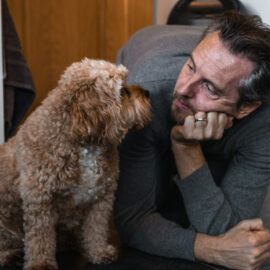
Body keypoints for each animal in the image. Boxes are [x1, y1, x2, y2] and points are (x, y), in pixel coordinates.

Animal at [0, 58, 151, 270]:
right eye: (122, 91)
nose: (148, 93)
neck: (85, 142)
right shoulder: (39, 199)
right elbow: (40, 238)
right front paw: (41, 263)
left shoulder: (101, 198)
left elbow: (96, 229)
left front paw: (98, 252)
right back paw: (9, 255)